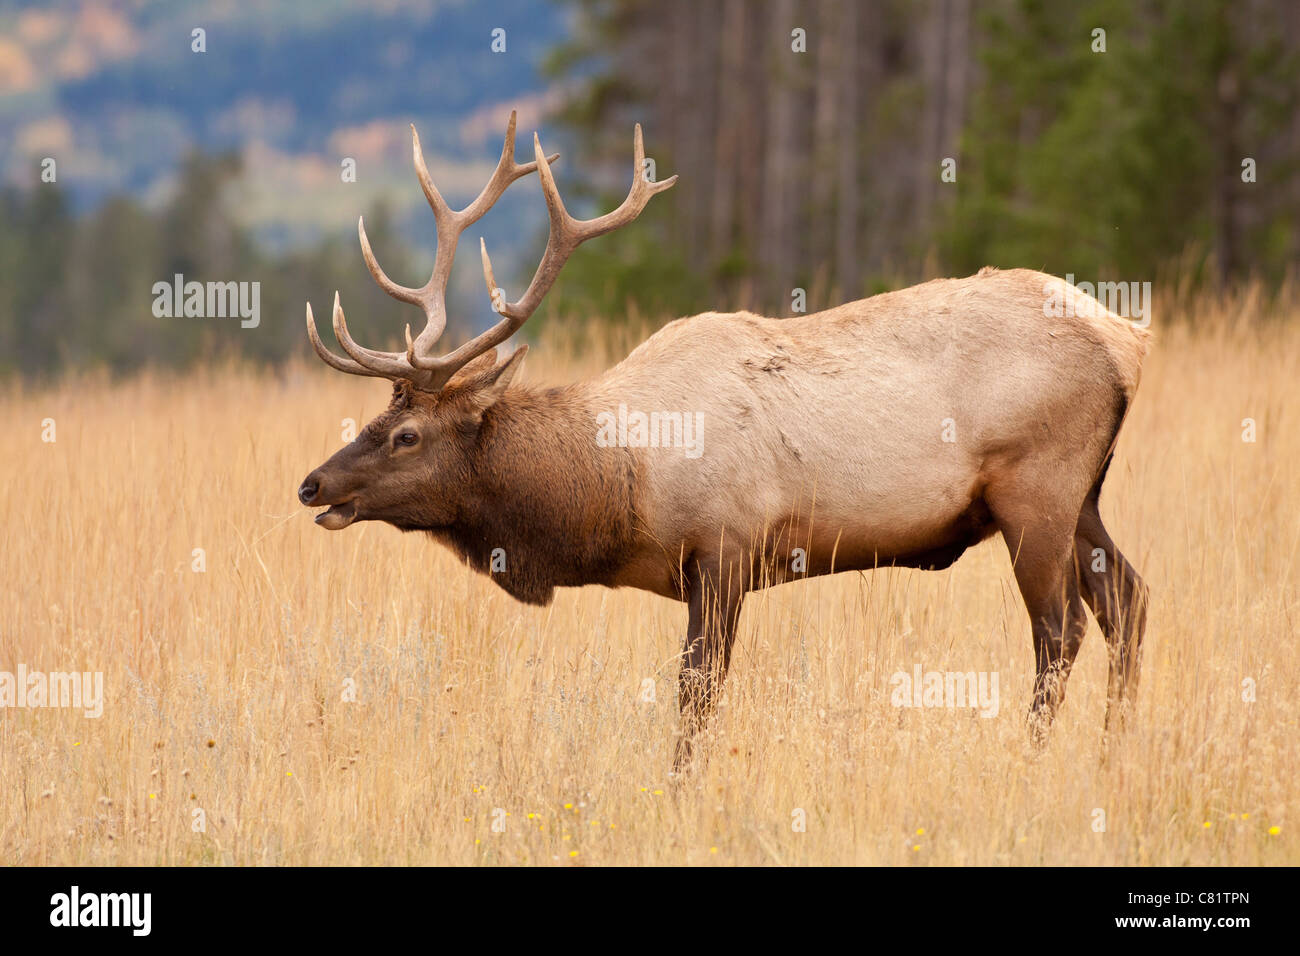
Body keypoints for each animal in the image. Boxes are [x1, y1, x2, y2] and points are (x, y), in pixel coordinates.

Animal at [299, 111, 1154, 770]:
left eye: (406, 435)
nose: (313, 484)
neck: (619, 481)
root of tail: (1129, 341)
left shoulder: (726, 547)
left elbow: (697, 692)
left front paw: (681, 788)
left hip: (1035, 486)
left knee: (1061, 630)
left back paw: (1034, 761)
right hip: (1085, 494)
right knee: (1131, 600)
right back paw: (1113, 757)